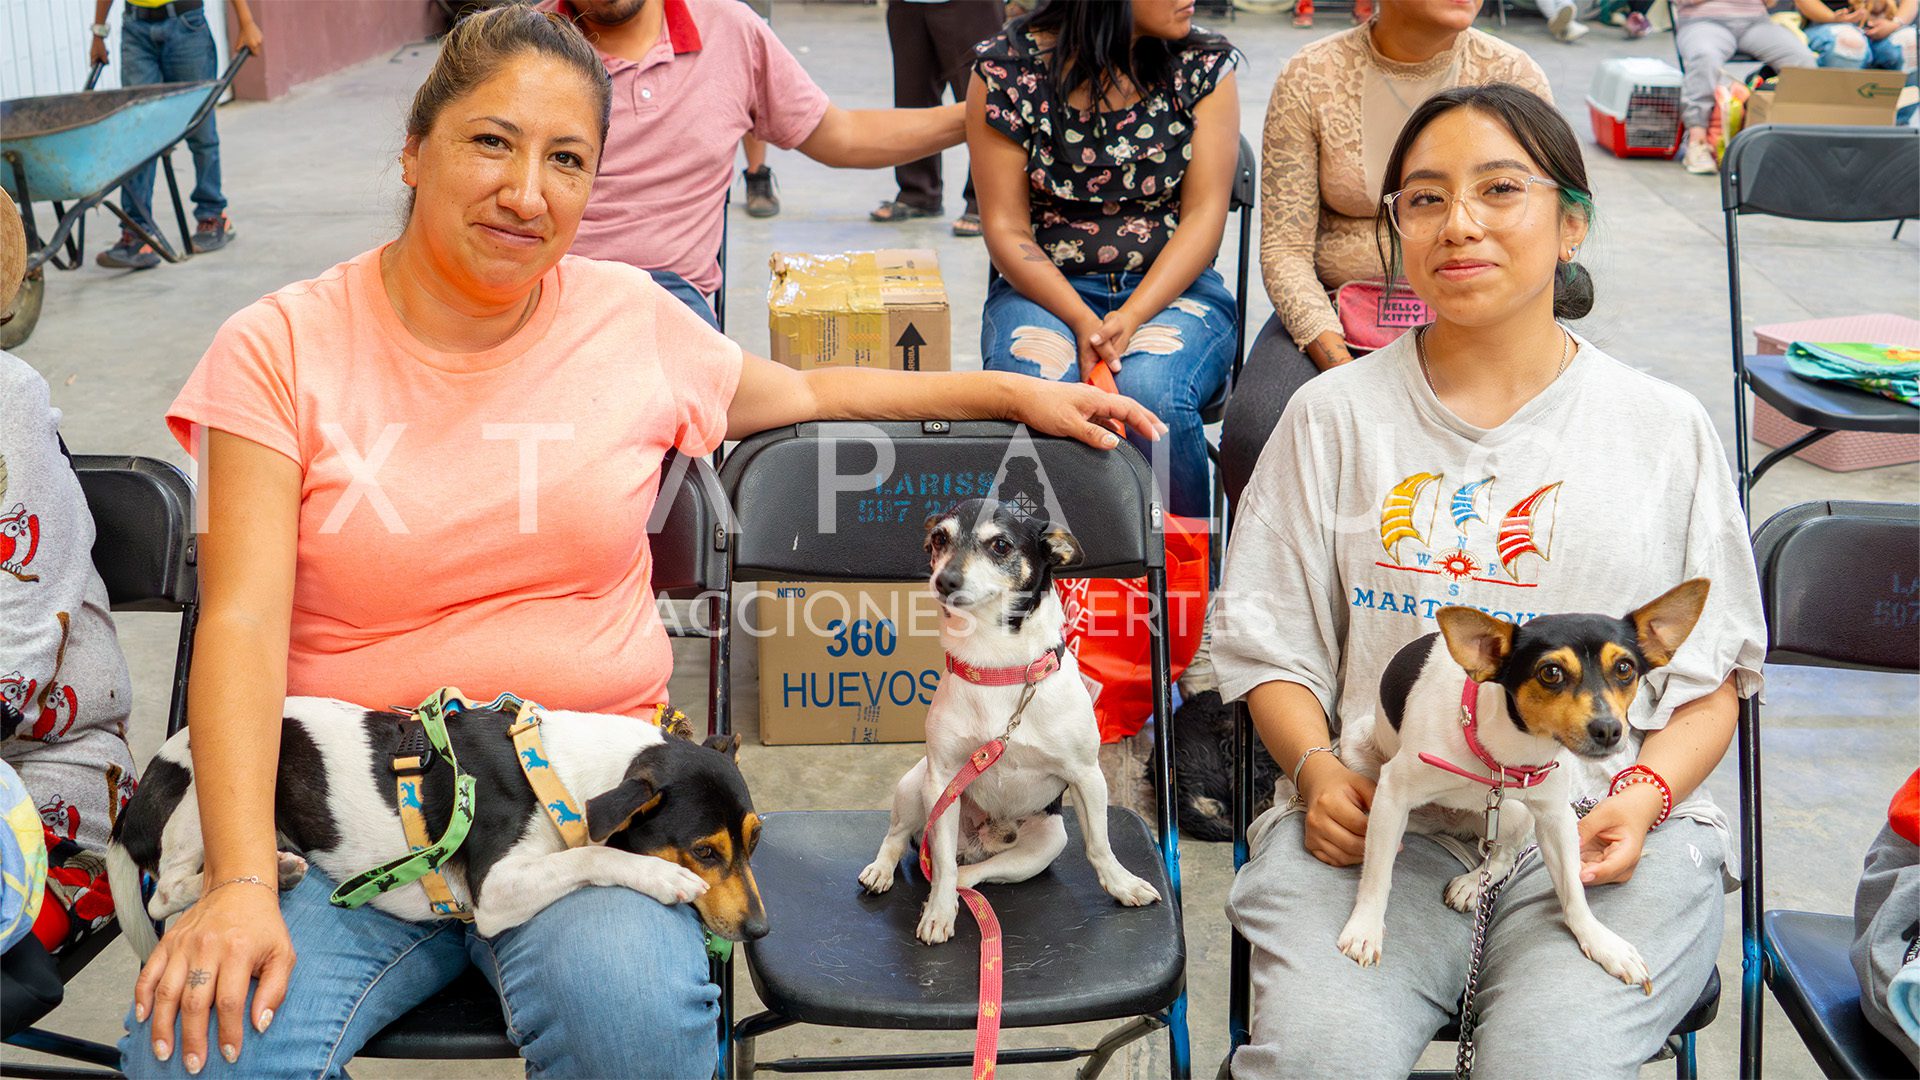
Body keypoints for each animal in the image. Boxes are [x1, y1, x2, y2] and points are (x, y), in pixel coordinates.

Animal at [108, 687, 768, 949]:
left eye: (756, 842)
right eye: (704, 852)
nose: (761, 931)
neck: (554, 769)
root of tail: (131, 806)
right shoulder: (497, 892)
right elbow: (595, 852)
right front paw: (661, 877)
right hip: (210, 793)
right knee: (165, 893)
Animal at [864, 495, 1159, 941]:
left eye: (1000, 545)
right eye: (939, 538)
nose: (944, 580)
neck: (997, 665)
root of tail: (977, 841)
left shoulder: (1088, 775)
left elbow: (1100, 845)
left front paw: (1122, 884)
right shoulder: (943, 781)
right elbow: (941, 862)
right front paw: (938, 913)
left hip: (1047, 841)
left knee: (972, 874)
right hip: (918, 789)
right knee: (904, 840)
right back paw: (885, 872)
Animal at [1336, 576, 1712, 991]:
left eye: (1625, 668)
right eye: (1551, 673)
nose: (1609, 729)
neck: (1507, 753)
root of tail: (1455, 822)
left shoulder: (1555, 818)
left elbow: (1572, 890)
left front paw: (1600, 941)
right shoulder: (1392, 794)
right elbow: (1377, 875)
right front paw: (1366, 928)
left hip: (1513, 814)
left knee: (1502, 855)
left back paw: (1473, 883)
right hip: (1357, 752)